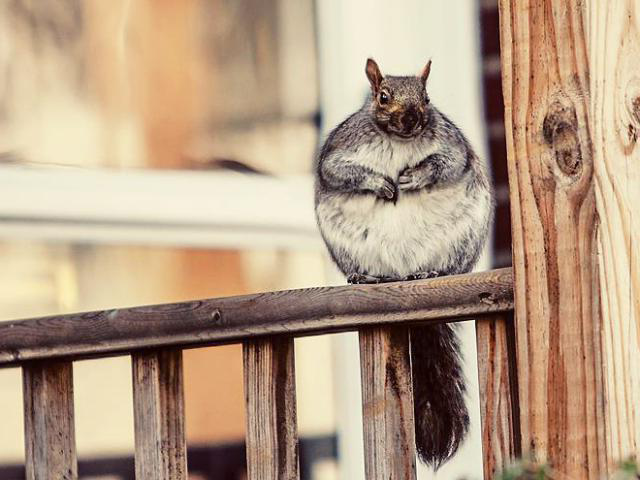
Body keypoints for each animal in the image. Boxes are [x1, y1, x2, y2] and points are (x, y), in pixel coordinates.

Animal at [316, 58, 496, 466]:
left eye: (426, 98)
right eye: (383, 97)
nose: (412, 119)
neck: (398, 142)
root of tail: (402, 273)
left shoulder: (450, 145)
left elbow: (447, 163)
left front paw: (414, 177)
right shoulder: (340, 149)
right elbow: (338, 171)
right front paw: (381, 183)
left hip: (462, 239)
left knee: (444, 266)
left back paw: (431, 271)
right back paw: (366, 277)